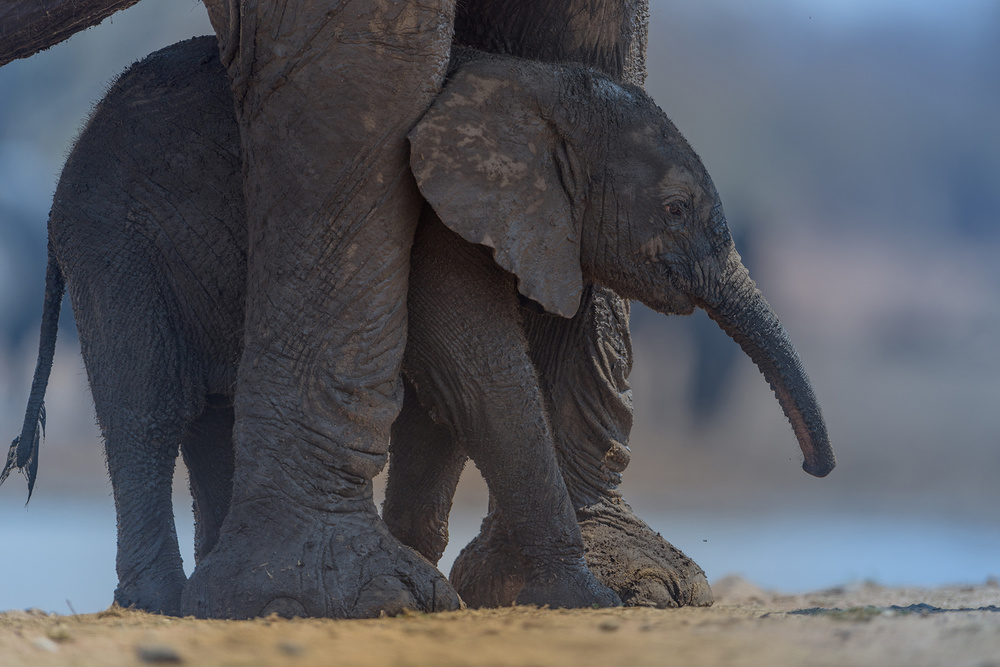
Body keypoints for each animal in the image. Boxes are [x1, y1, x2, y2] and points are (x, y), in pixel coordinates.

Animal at [1, 0, 833, 618]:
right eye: (675, 209)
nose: (816, 466)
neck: (530, 91)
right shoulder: (436, 223)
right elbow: (479, 372)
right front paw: (578, 597)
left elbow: (447, 402)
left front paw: (440, 584)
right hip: (115, 242)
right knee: (148, 407)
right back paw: (161, 602)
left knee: (209, 410)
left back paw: (200, 600)